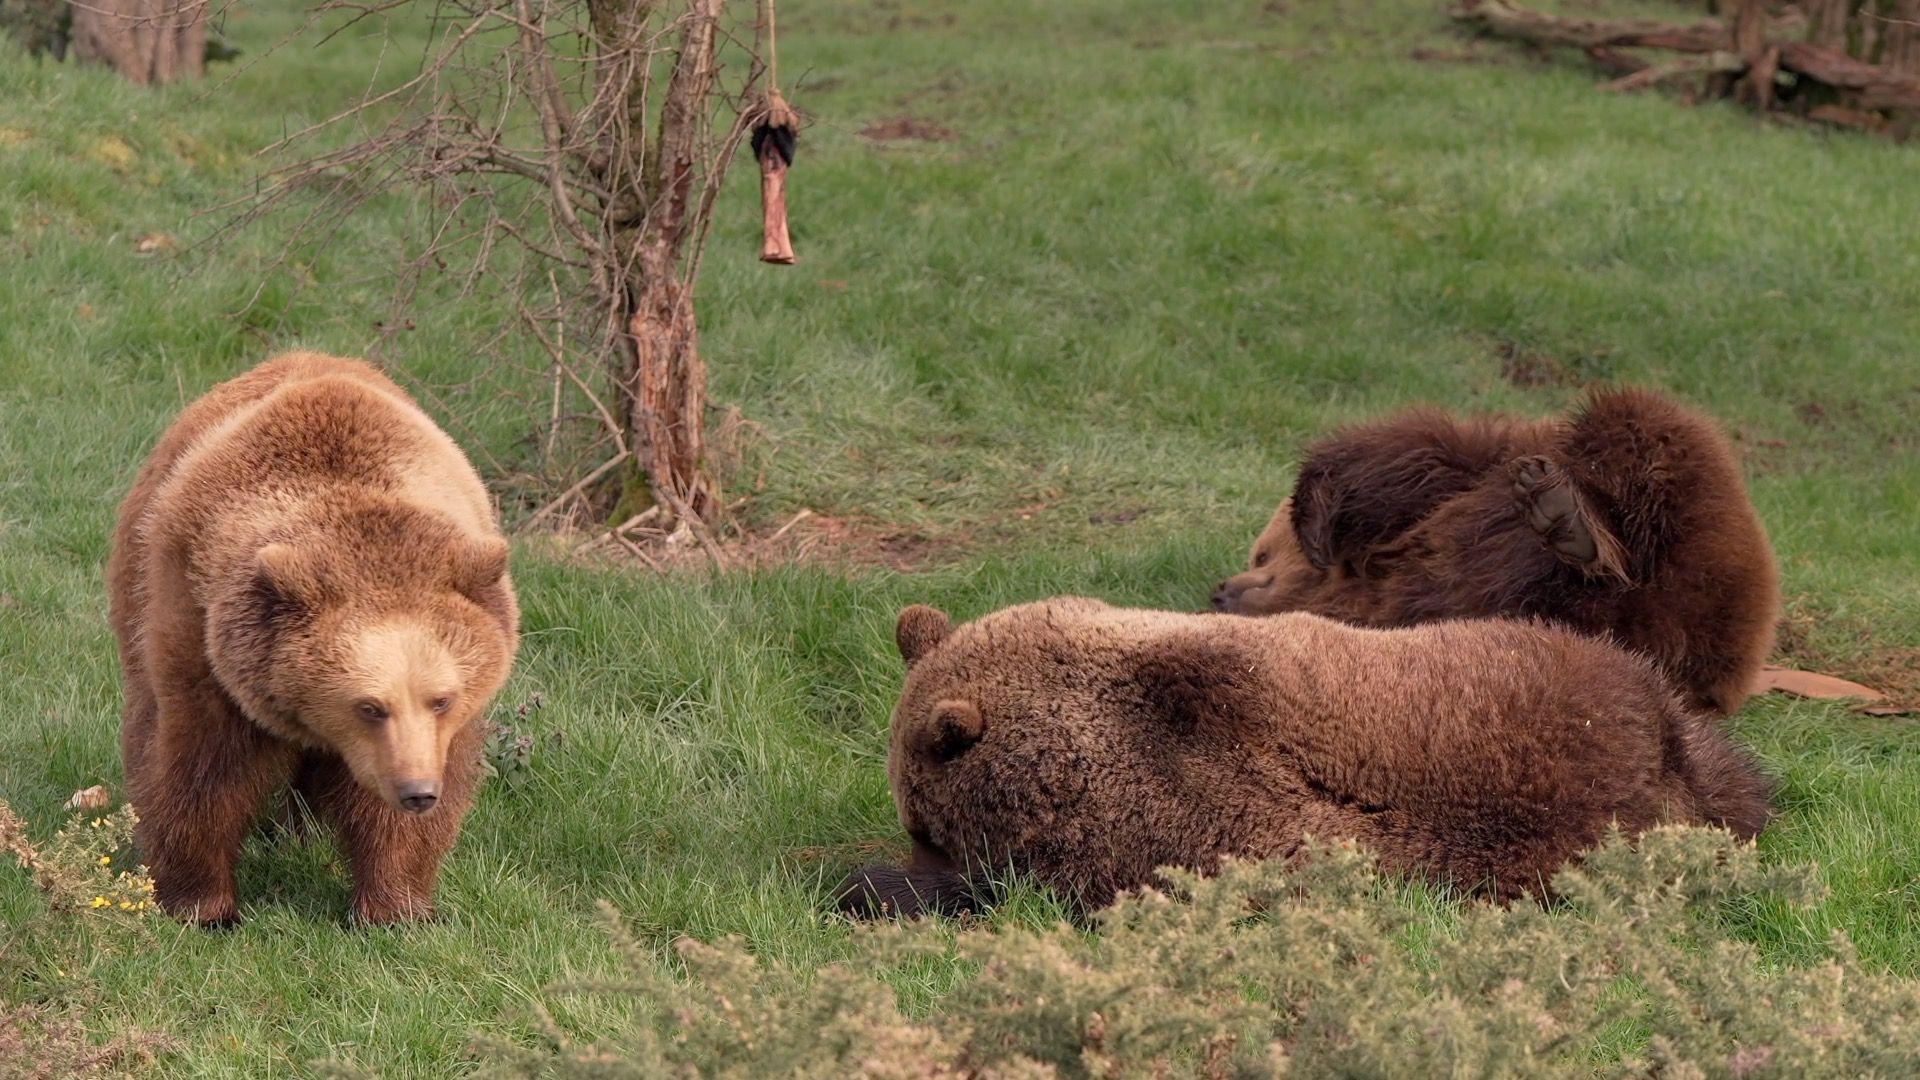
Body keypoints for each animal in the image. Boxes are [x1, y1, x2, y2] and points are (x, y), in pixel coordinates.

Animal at [108, 352, 519, 926]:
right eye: (370, 706)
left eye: (441, 699)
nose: (417, 792)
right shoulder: (202, 641)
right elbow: (199, 770)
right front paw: (202, 904)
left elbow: (399, 816)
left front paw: (397, 906)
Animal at [1211, 387, 1779, 715]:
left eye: (1260, 556)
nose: (1221, 589)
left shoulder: (1471, 470)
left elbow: (1411, 453)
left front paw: (1315, 513)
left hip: (1706, 528)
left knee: (1636, 426)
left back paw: (1573, 523)